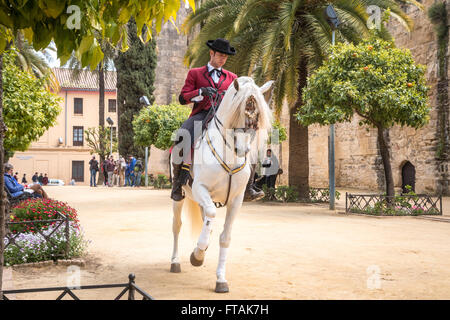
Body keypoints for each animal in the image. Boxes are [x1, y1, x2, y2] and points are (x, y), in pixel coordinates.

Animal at [170, 76, 272, 294]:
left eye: (256, 121)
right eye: (238, 114)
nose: (243, 150)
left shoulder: (236, 200)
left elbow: (225, 237)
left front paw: (220, 279)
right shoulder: (200, 188)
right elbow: (210, 216)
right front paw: (197, 254)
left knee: (206, 222)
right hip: (181, 197)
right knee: (177, 225)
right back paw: (175, 261)